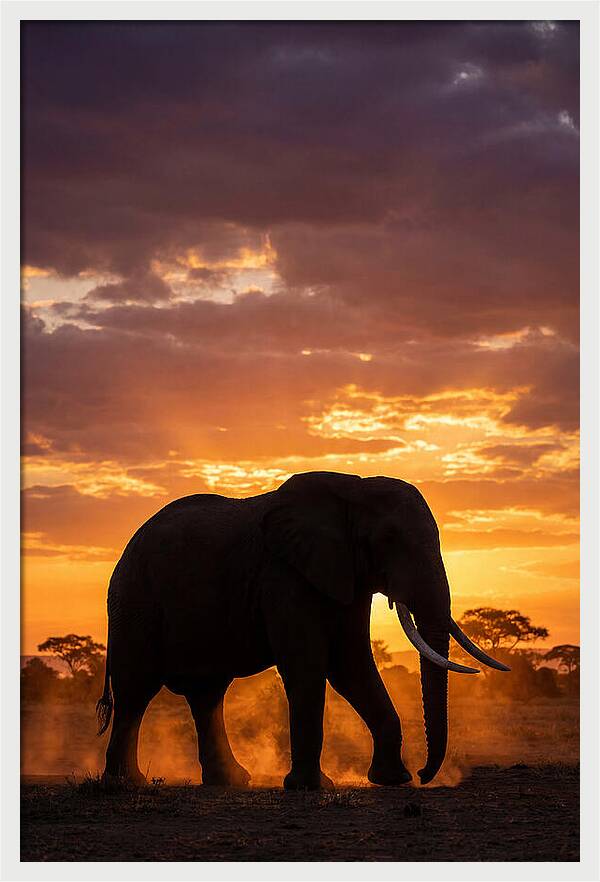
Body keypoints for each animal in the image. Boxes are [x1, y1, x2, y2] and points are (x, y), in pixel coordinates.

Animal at [96, 470, 509, 789]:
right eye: (388, 541)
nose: (425, 774)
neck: (353, 489)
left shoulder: (345, 575)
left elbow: (351, 666)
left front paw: (393, 780)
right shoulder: (283, 574)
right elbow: (310, 666)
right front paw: (310, 787)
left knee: (207, 694)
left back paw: (230, 781)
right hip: (134, 601)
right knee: (136, 691)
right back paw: (125, 784)